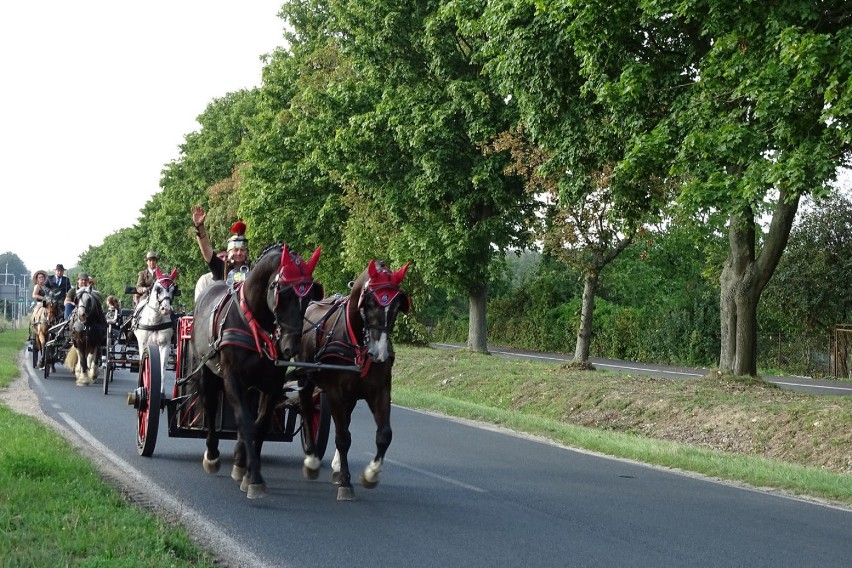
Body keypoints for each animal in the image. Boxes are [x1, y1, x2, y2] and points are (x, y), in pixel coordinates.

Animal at [191, 243, 322, 496]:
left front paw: (250, 473)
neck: (254, 322)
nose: (291, 346)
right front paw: (252, 476)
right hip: (206, 370)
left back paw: (240, 461)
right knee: (209, 406)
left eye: (309, 297)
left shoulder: (272, 384)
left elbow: (259, 425)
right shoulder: (233, 379)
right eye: (282, 292)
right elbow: (244, 421)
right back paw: (212, 455)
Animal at [298, 260, 412, 500]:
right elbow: (343, 437)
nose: (379, 353)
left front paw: (371, 474)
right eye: (369, 303)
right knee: (306, 410)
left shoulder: (380, 391)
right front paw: (345, 482)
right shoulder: (335, 393)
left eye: (397, 306)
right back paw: (312, 459)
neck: (358, 344)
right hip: (306, 379)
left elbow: (384, 435)